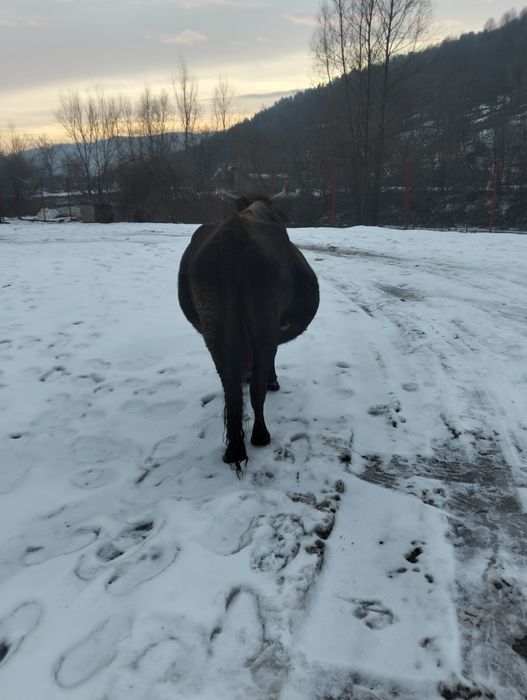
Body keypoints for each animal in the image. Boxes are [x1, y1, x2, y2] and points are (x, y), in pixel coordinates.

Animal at [178, 193, 319, 475]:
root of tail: (232, 232)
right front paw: (273, 381)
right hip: (264, 320)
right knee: (256, 386)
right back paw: (260, 436)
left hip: (213, 324)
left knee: (230, 387)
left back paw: (233, 450)